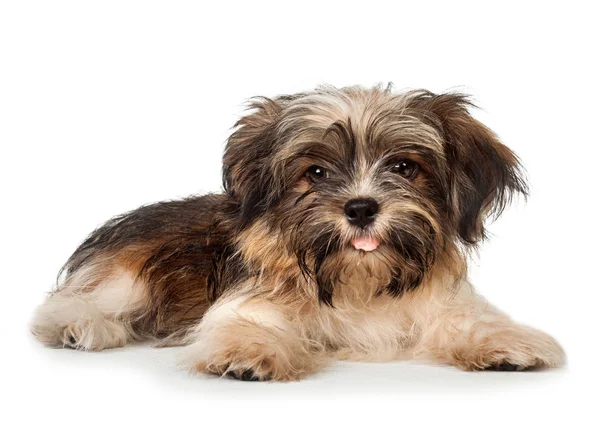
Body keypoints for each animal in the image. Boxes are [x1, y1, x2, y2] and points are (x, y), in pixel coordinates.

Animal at [31, 84, 568, 380]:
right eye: (315, 172)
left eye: (403, 166)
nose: (360, 207)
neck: (358, 281)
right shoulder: (249, 301)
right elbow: (250, 324)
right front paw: (247, 354)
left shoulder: (442, 304)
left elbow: (466, 321)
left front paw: (504, 344)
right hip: (129, 275)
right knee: (66, 305)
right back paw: (81, 327)